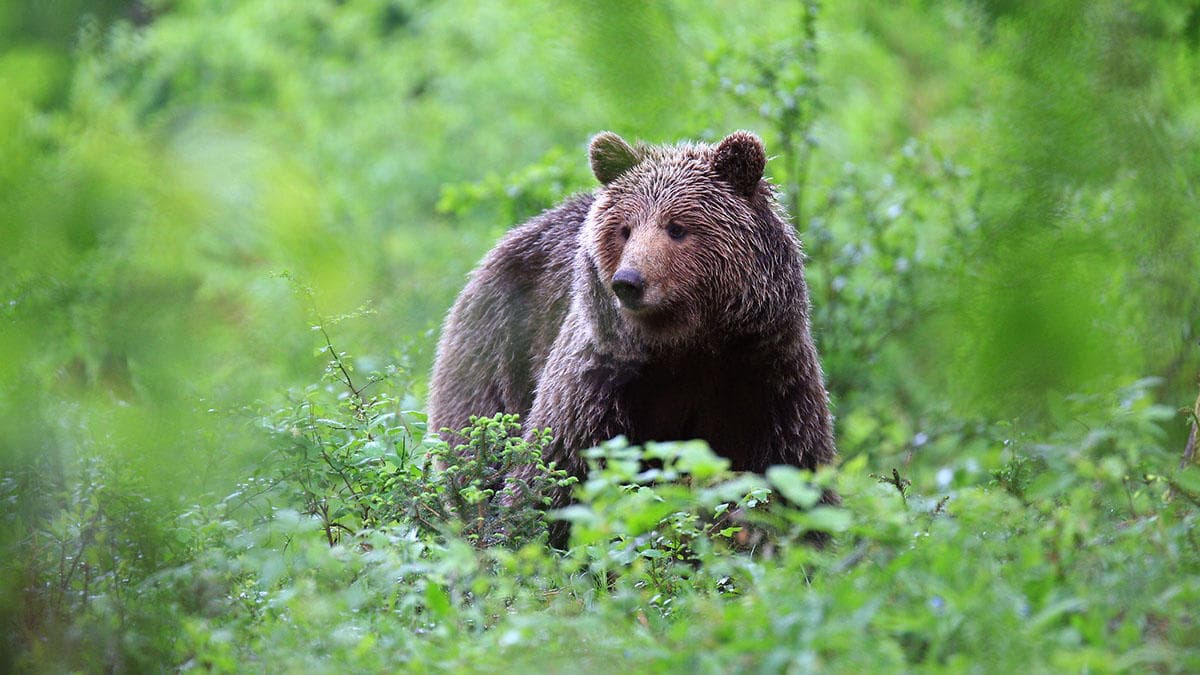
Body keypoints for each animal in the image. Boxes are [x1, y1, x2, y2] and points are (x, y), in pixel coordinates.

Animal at [427, 130, 837, 532]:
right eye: (625, 229)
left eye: (677, 227)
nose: (628, 281)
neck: (686, 344)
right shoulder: (601, 379)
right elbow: (553, 474)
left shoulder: (766, 375)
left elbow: (791, 477)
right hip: (498, 354)